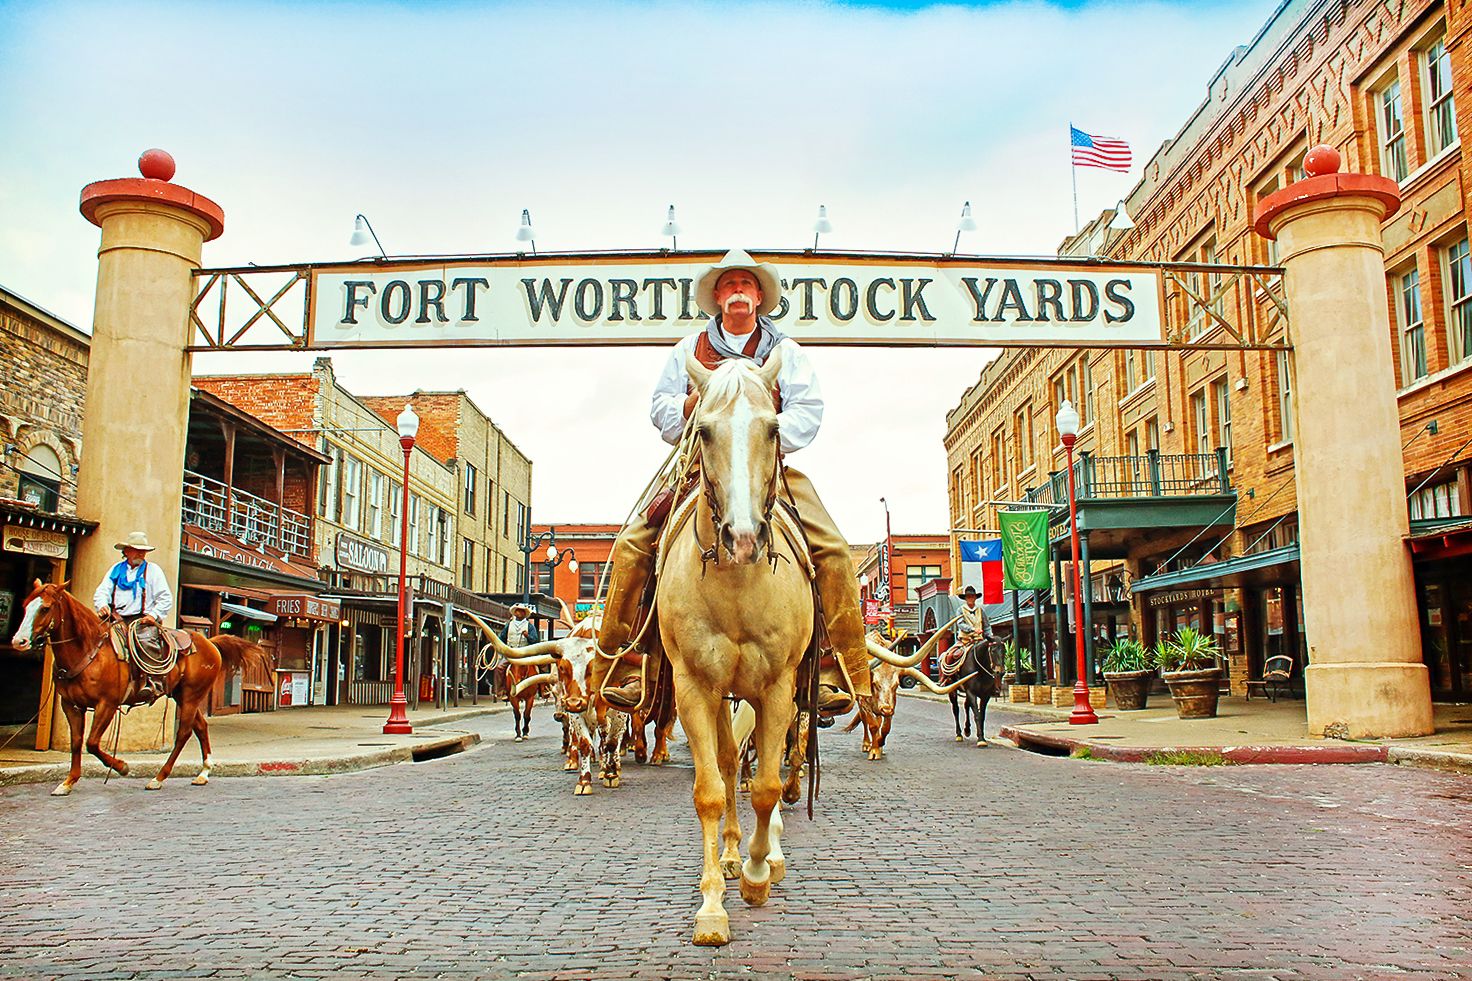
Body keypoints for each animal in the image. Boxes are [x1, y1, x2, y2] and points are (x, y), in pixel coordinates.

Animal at [11, 580, 273, 795]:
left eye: (45, 608)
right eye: (25, 605)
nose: (18, 641)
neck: (88, 650)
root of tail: (209, 642)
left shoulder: (107, 704)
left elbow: (92, 743)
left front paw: (122, 767)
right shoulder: (71, 705)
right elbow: (77, 742)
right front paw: (68, 782)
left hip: (191, 695)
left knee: (184, 733)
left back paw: (159, 777)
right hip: (182, 695)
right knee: (200, 726)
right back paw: (203, 772)